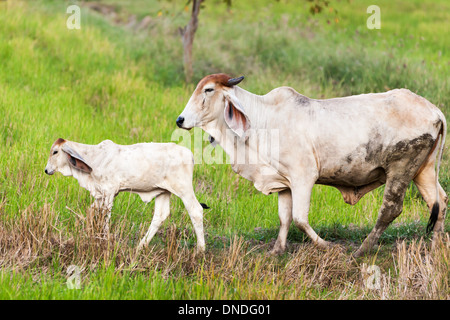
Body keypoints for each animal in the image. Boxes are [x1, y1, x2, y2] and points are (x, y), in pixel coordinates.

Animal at [44, 139, 208, 251]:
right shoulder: (100, 195)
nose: (46, 170)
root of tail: (189, 154)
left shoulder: (109, 192)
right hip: (163, 191)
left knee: (196, 211)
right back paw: (141, 246)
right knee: (160, 215)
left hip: (184, 190)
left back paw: (200, 250)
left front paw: (103, 240)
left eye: (55, 152)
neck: (95, 158)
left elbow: (105, 217)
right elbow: (92, 211)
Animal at [176, 74, 446, 256]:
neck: (263, 122)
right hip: (423, 170)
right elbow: (284, 218)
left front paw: (327, 246)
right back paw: (436, 247)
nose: (180, 120)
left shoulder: (303, 176)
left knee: (390, 209)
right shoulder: (285, 183)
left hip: (401, 169)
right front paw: (277, 250)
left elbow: (299, 218)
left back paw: (362, 250)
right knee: (440, 201)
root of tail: (434, 110)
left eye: (208, 89)